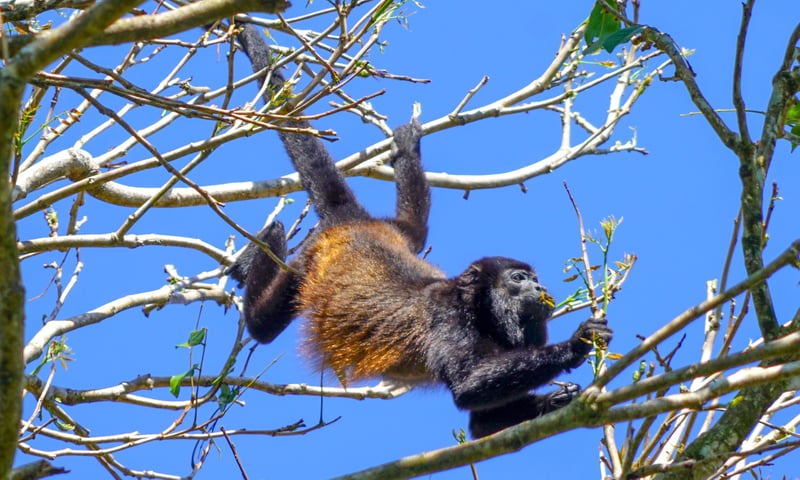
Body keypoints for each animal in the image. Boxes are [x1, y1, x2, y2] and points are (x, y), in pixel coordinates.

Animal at [229, 24, 613, 438]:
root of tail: (354, 221)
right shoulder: (446, 315)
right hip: (310, 262)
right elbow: (468, 386)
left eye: (535, 278)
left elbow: (483, 423)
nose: (539, 288)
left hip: (397, 232)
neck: (479, 309)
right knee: (263, 326)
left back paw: (408, 150)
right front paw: (577, 344)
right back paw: (268, 240)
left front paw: (561, 398)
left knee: (415, 229)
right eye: (518, 278)